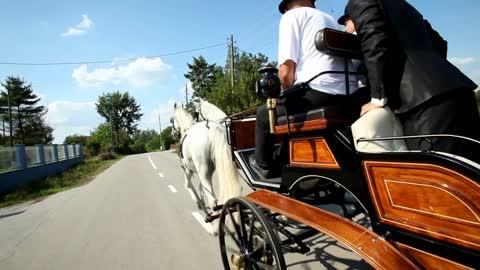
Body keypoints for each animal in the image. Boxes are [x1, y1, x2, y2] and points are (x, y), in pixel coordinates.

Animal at [171, 103, 242, 234]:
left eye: (171, 119)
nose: (172, 134)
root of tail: (211, 128)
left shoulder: (188, 169)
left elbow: (188, 185)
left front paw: (197, 201)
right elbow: (201, 187)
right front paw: (201, 200)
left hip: (202, 169)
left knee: (213, 200)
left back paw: (214, 227)